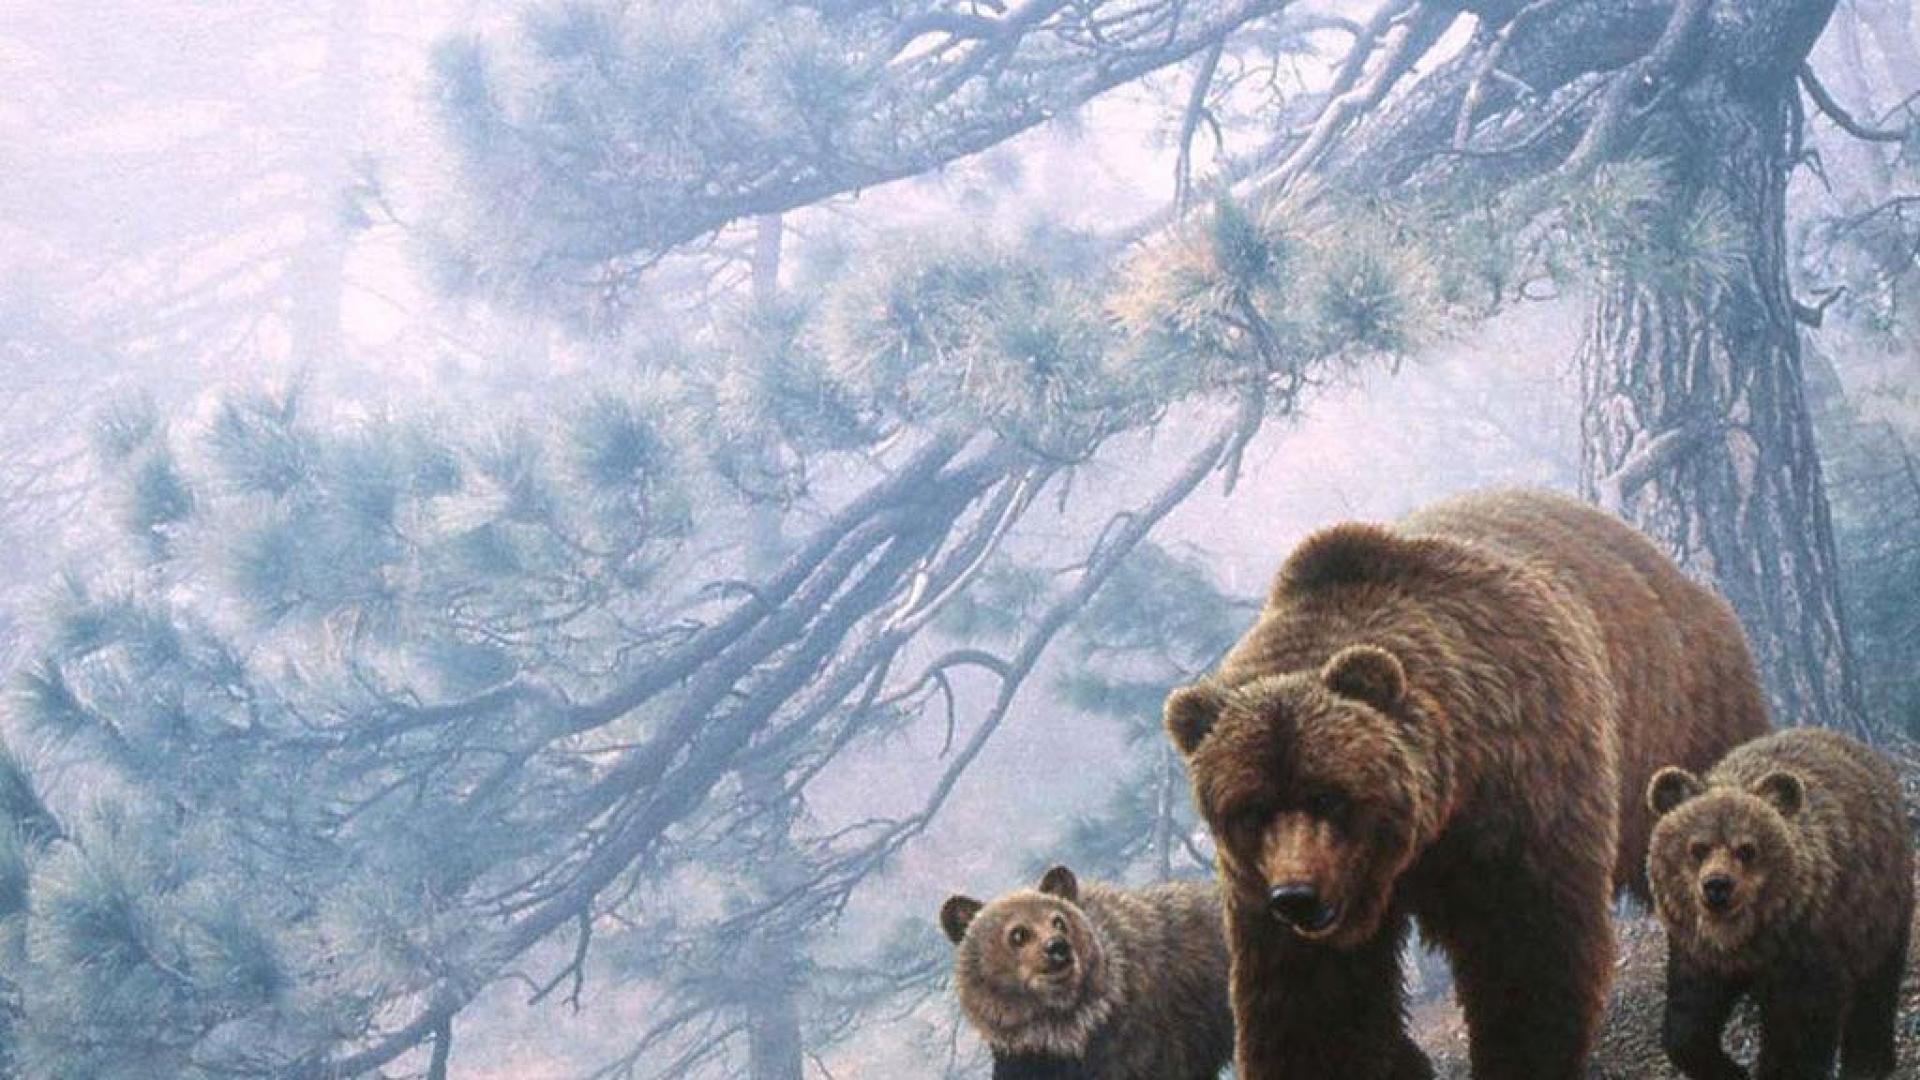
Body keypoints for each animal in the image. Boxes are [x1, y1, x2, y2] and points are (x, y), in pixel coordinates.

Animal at [1161, 488, 1769, 1080]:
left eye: (1329, 796)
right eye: (1251, 809)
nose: (1297, 898)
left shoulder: (1518, 793)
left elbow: (1525, 952)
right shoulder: (1261, 889)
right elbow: (1314, 1008)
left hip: (1677, 719)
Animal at [1647, 727, 1915, 1080]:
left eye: (1747, 849)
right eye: (1698, 848)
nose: (1717, 885)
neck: (1747, 939)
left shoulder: (1809, 945)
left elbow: (1799, 1029)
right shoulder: (1699, 951)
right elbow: (1687, 1020)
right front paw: (1730, 1069)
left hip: (1879, 904)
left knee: (1878, 982)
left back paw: (1867, 1063)